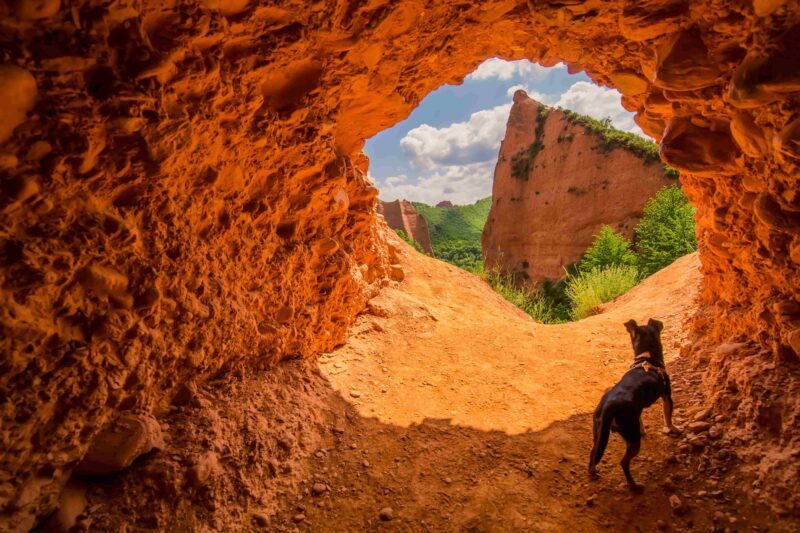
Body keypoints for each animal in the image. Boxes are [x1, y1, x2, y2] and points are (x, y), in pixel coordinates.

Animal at [588, 318, 680, 488]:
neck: (646, 358)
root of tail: (609, 406)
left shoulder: (639, 409)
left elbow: (642, 421)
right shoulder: (667, 396)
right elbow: (668, 418)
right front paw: (674, 429)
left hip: (599, 431)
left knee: (593, 452)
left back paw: (593, 471)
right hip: (633, 438)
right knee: (623, 463)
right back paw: (634, 485)